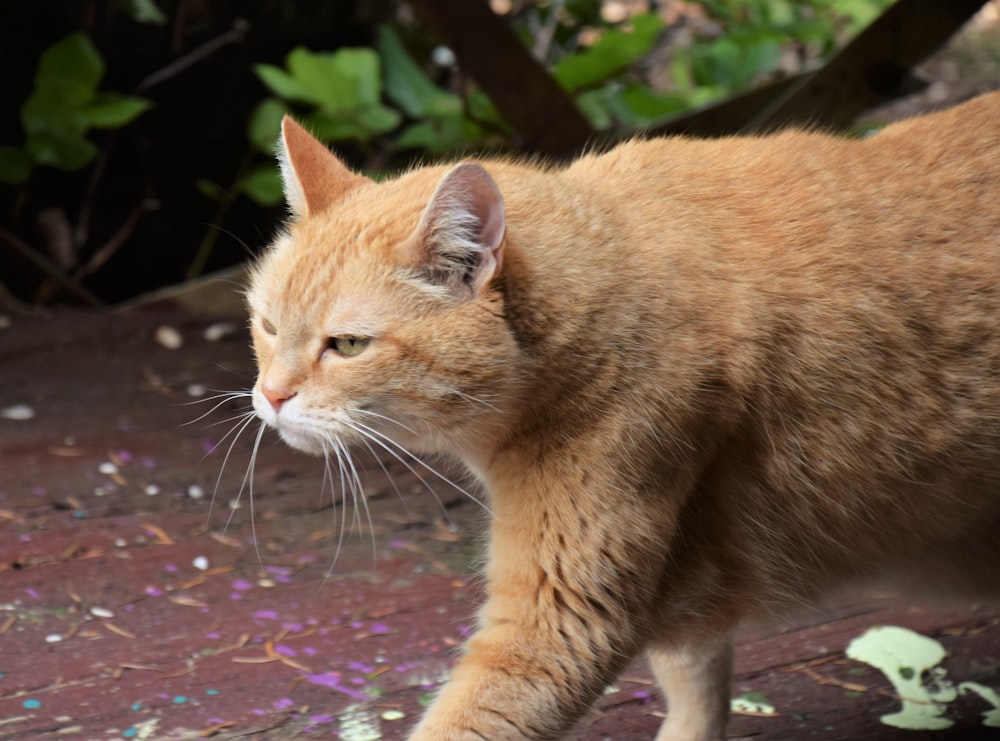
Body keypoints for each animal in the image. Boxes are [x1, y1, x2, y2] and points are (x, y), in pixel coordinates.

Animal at [248, 94, 1000, 740]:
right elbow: (695, 679)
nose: (271, 395)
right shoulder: (684, 588)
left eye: (347, 345)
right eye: (266, 325)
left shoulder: (559, 619)